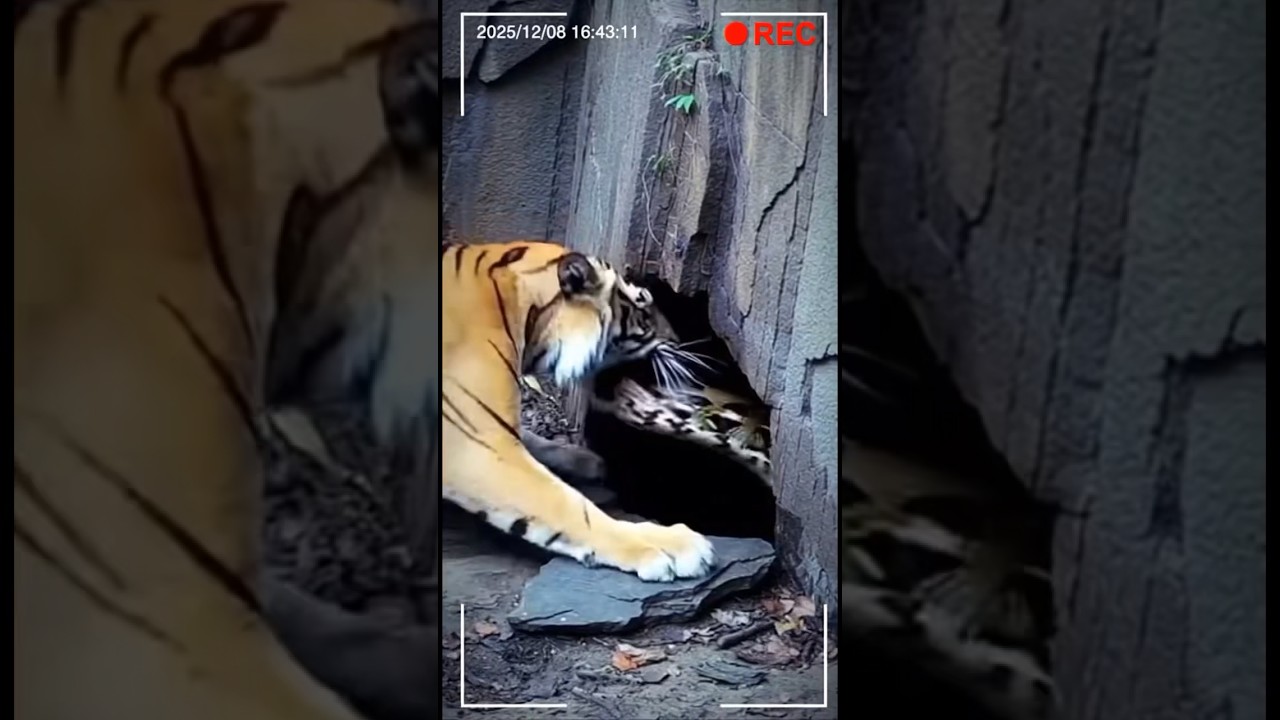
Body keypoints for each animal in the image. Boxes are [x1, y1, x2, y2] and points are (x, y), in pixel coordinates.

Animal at [441, 240, 717, 582]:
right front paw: (667, 545)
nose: (678, 340)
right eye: (643, 308)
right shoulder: (476, 445)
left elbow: (532, 439)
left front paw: (585, 460)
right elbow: (572, 508)